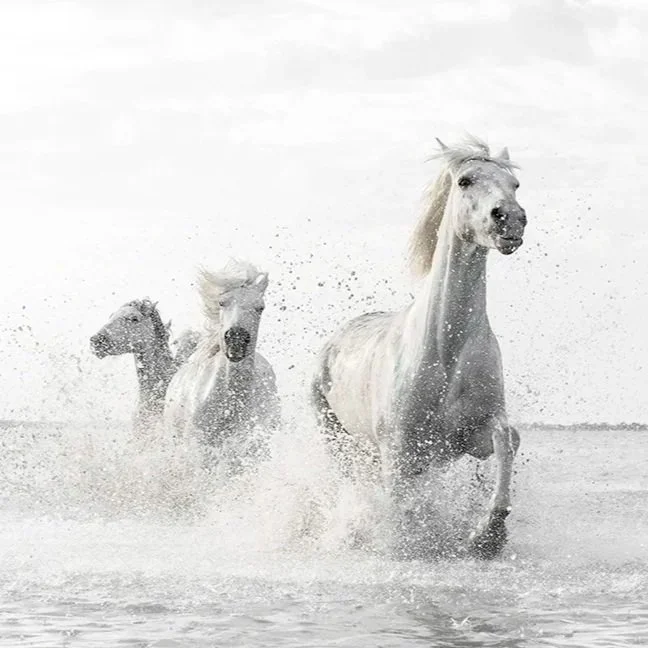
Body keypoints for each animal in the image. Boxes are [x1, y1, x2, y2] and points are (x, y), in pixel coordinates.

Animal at [311, 137, 527, 559]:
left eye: (514, 185)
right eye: (465, 180)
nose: (509, 218)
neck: (445, 351)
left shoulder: (469, 435)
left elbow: (506, 440)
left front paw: (487, 536)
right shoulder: (398, 449)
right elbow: (402, 504)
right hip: (337, 438)